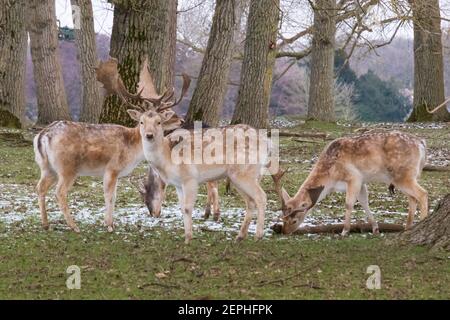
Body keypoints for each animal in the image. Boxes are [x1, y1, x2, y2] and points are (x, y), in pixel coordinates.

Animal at [34, 57, 189, 231]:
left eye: (159, 121)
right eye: (142, 121)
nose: (181, 120)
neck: (133, 151)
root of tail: (43, 135)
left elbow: (112, 196)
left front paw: (109, 222)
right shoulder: (112, 168)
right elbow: (110, 196)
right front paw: (109, 225)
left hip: (47, 167)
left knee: (40, 187)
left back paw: (46, 224)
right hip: (67, 168)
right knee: (59, 192)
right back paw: (74, 226)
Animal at [282, 129, 428, 235]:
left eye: (294, 220)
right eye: (283, 218)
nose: (285, 232)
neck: (331, 180)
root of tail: (421, 144)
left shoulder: (354, 177)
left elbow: (349, 203)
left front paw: (344, 231)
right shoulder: (362, 182)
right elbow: (364, 202)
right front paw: (375, 228)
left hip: (402, 175)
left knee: (422, 194)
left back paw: (422, 222)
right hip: (406, 177)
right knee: (412, 198)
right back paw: (408, 228)